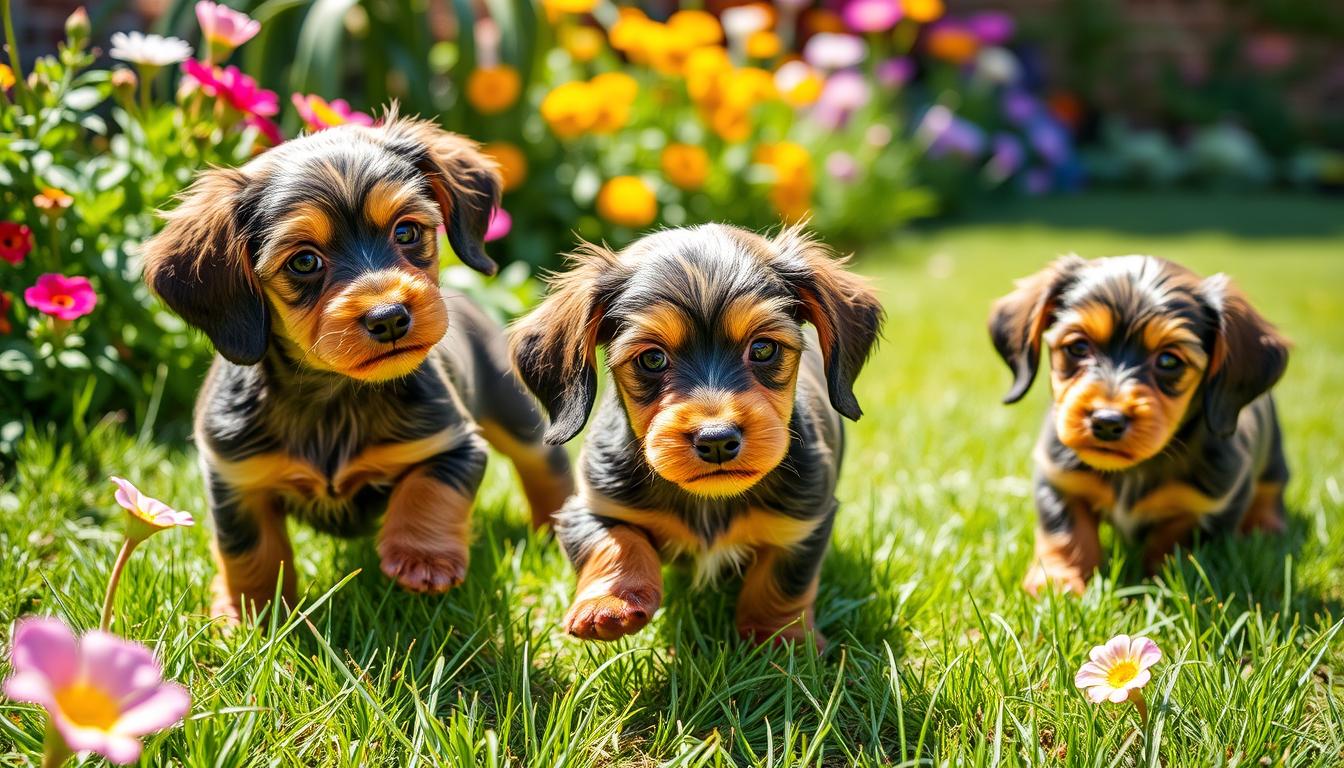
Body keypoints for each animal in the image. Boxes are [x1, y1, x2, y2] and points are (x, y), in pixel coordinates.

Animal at [141, 117, 572, 621]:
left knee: (545, 467)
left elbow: (429, 491)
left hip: (513, 410)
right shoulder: (234, 478)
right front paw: (250, 614)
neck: (334, 394)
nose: (389, 317)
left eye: (406, 232)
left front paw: (422, 560)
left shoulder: (452, 444)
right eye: (304, 261)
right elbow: (250, 551)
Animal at [505, 225, 881, 645]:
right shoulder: (588, 507)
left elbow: (781, 583)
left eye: (763, 348)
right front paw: (609, 604)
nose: (716, 440)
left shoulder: (803, 522)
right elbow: (617, 543)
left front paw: (780, 638)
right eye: (652, 358)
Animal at [989, 255, 1290, 597]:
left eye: (1169, 361)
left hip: (1273, 455)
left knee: (1272, 488)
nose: (1107, 422)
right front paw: (1057, 583)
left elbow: (1172, 541)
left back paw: (1267, 529)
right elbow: (1067, 534)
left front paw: (1164, 584)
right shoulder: (1058, 479)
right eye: (1078, 347)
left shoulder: (1213, 502)